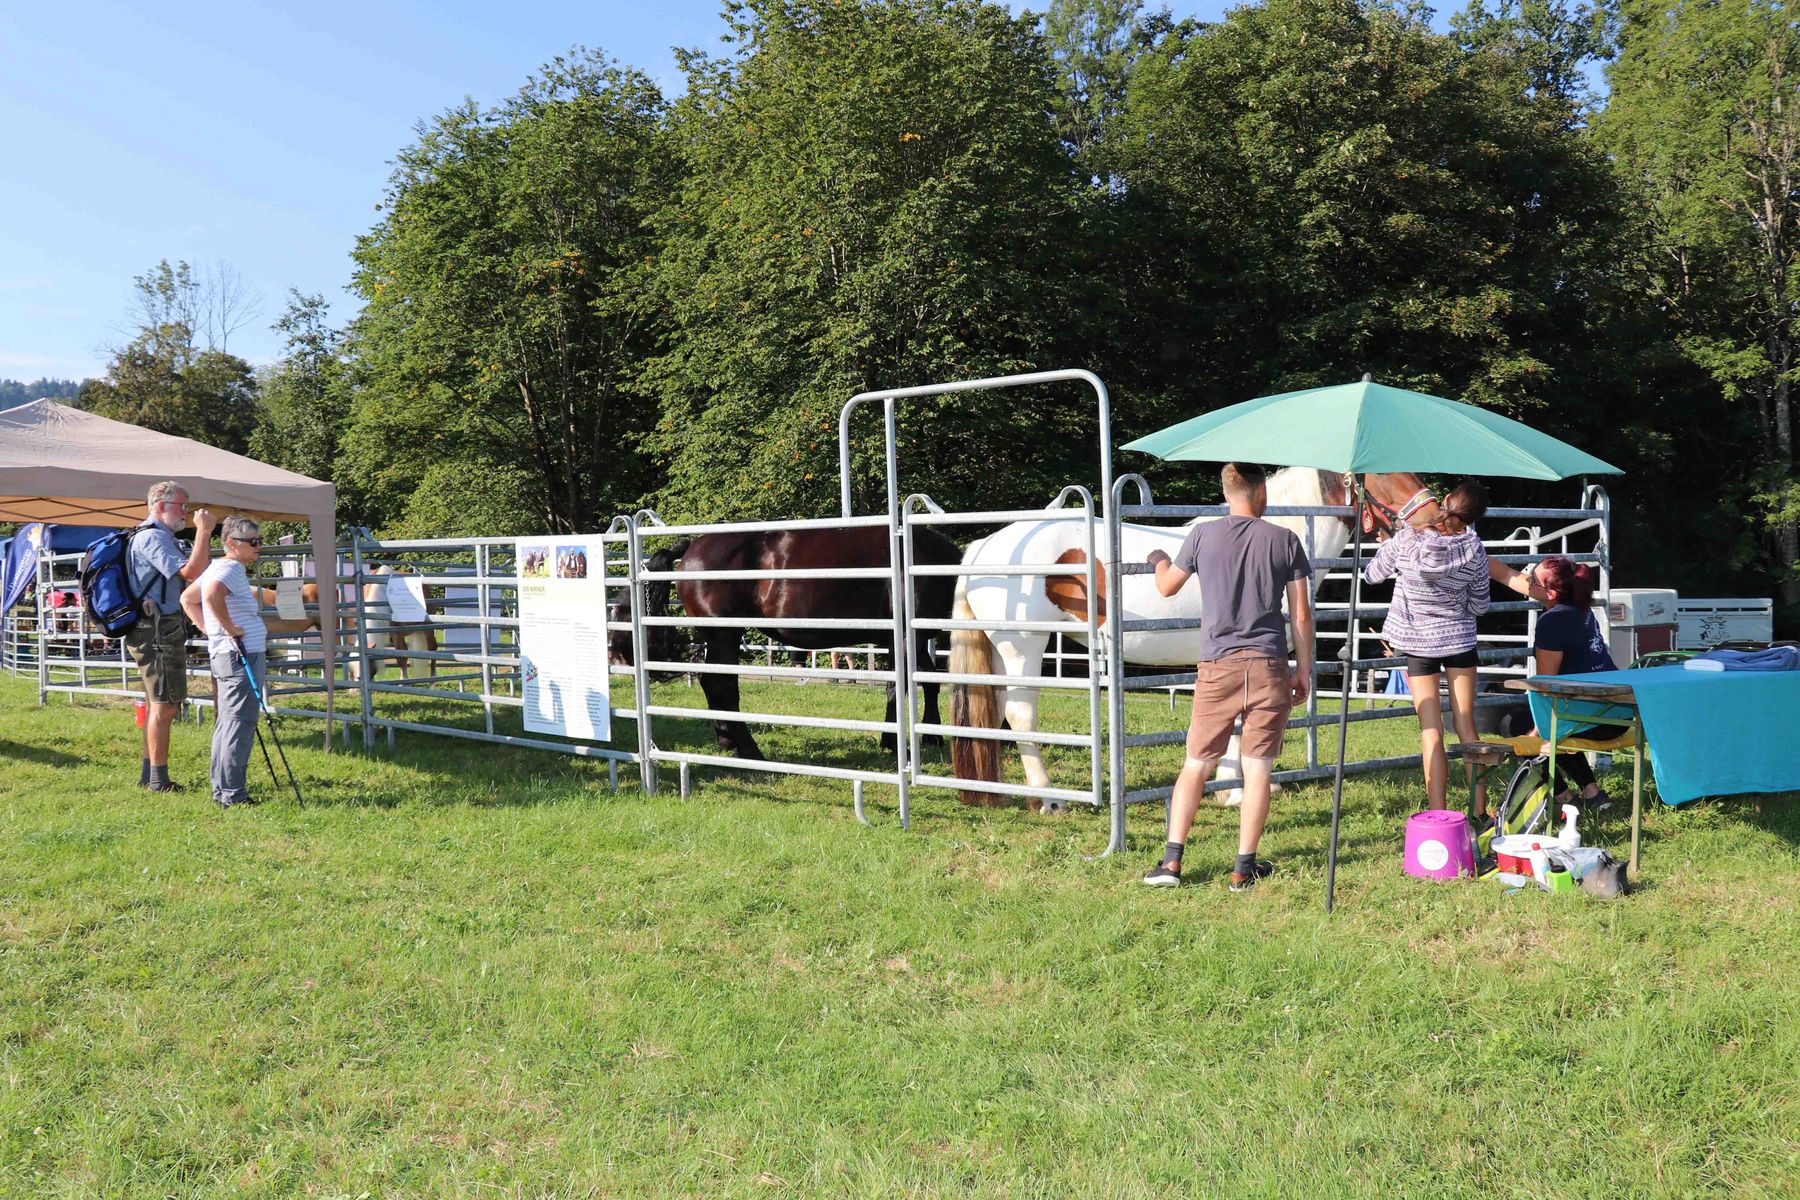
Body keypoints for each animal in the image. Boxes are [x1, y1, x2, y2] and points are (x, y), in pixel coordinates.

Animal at [608, 525, 972, 759]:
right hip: (725, 635)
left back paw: (728, 743)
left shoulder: (911, 639)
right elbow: (902, 688)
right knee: (722, 685)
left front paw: (927, 736)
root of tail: (693, 547)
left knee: (712, 683)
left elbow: (924, 683)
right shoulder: (904, 638)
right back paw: (749, 750)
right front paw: (899, 743)